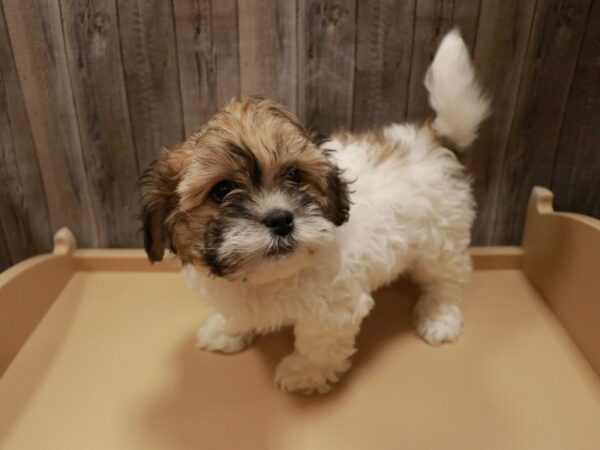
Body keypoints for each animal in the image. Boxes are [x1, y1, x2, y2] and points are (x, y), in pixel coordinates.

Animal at [139, 29, 488, 394]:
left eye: (295, 175)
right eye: (221, 190)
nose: (281, 219)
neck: (264, 277)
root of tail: (433, 139)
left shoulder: (333, 309)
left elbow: (320, 343)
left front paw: (304, 372)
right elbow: (239, 315)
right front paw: (226, 331)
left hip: (441, 240)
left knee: (446, 279)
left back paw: (440, 317)